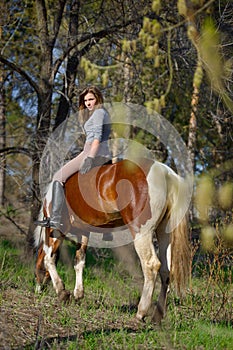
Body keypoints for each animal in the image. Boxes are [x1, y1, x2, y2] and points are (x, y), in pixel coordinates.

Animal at [34, 158, 191, 322]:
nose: (38, 289)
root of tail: (165, 172)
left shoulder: (57, 230)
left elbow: (48, 259)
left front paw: (62, 292)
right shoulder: (84, 231)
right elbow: (80, 260)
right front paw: (78, 293)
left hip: (141, 232)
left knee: (151, 265)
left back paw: (141, 312)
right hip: (164, 232)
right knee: (166, 270)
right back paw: (157, 317)